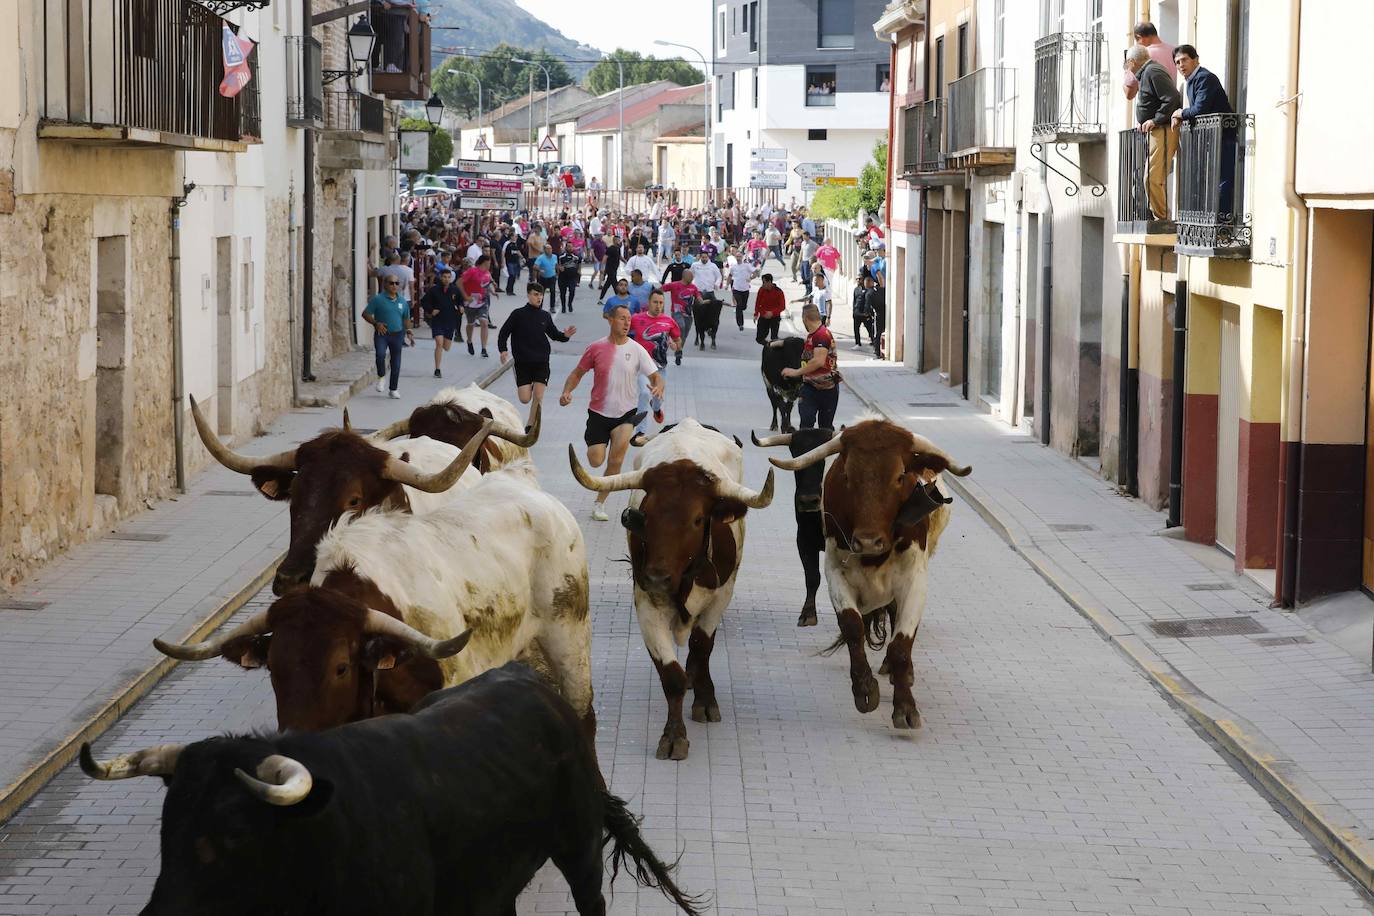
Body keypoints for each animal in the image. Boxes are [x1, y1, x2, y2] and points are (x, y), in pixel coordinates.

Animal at [79, 661, 703, 916]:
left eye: (233, 831)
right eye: (167, 824)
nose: (159, 915)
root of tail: (541, 688)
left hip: (579, 846)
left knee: (591, 899)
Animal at [566, 420, 774, 763]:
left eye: (698, 519)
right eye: (645, 516)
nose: (657, 578)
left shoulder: (720, 597)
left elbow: (702, 648)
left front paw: (705, 701)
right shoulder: (646, 604)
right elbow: (672, 676)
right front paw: (674, 736)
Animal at [752, 425, 835, 626]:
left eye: (823, 459)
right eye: (795, 453)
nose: (808, 501)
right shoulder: (803, 540)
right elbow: (812, 577)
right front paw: (808, 614)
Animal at [769, 420, 972, 730]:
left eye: (900, 476)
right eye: (848, 475)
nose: (867, 541)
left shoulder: (915, 581)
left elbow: (901, 642)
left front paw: (905, 706)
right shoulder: (835, 572)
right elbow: (853, 626)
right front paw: (864, 689)